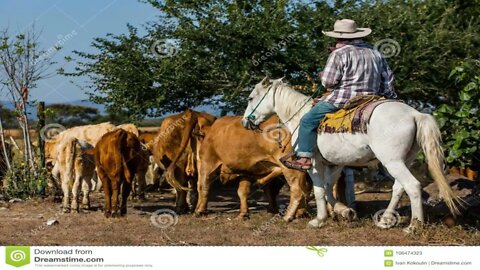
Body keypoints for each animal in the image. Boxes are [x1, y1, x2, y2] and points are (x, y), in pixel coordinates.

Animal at [242, 77, 460, 233]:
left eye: (251, 98)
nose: (245, 122)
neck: (299, 115)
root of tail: (415, 114)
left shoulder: (314, 163)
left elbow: (319, 190)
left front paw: (319, 220)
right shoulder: (336, 163)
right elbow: (328, 188)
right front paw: (344, 211)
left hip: (392, 162)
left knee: (413, 186)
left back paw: (414, 226)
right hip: (404, 160)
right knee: (399, 187)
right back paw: (386, 220)